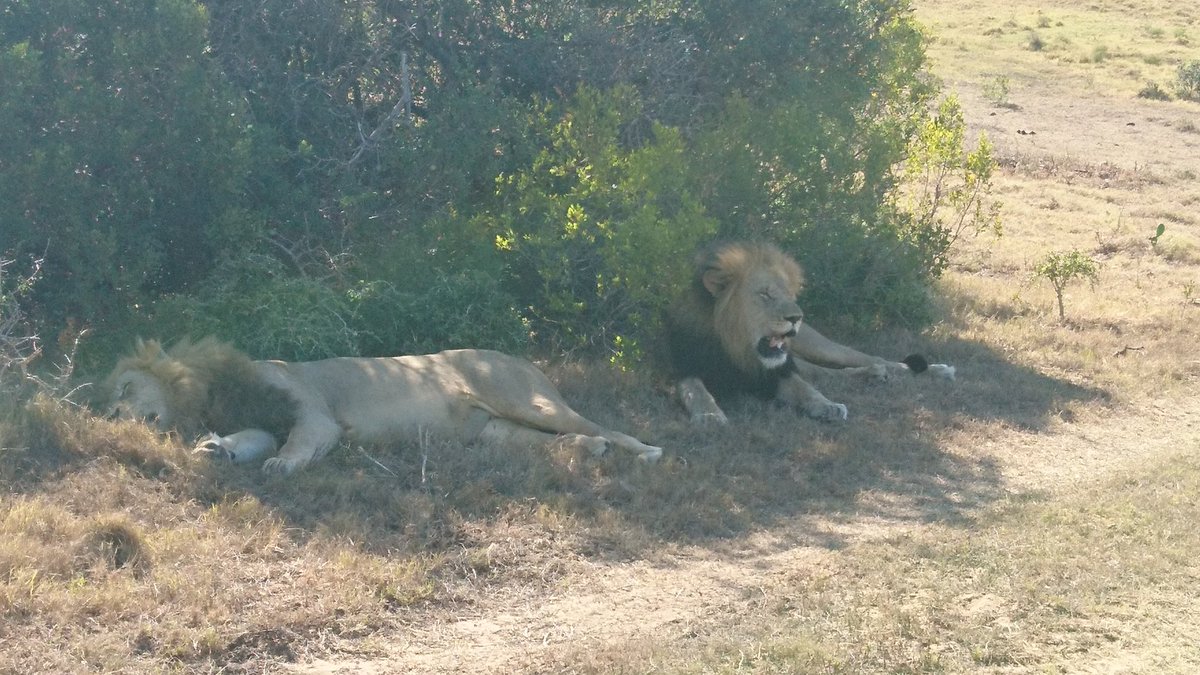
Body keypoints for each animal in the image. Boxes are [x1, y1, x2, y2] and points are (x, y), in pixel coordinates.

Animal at [665, 241, 950, 424]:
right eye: (765, 294)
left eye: (789, 294)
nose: (796, 318)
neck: (736, 347)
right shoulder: (683, 366)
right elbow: (696, 390)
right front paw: (709, 415)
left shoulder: (779, 371)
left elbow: (806, 389)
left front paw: (827, 406)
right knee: (830, 373)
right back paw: (874, 374)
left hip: (820, 347)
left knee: (870, 359)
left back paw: (937, 370)